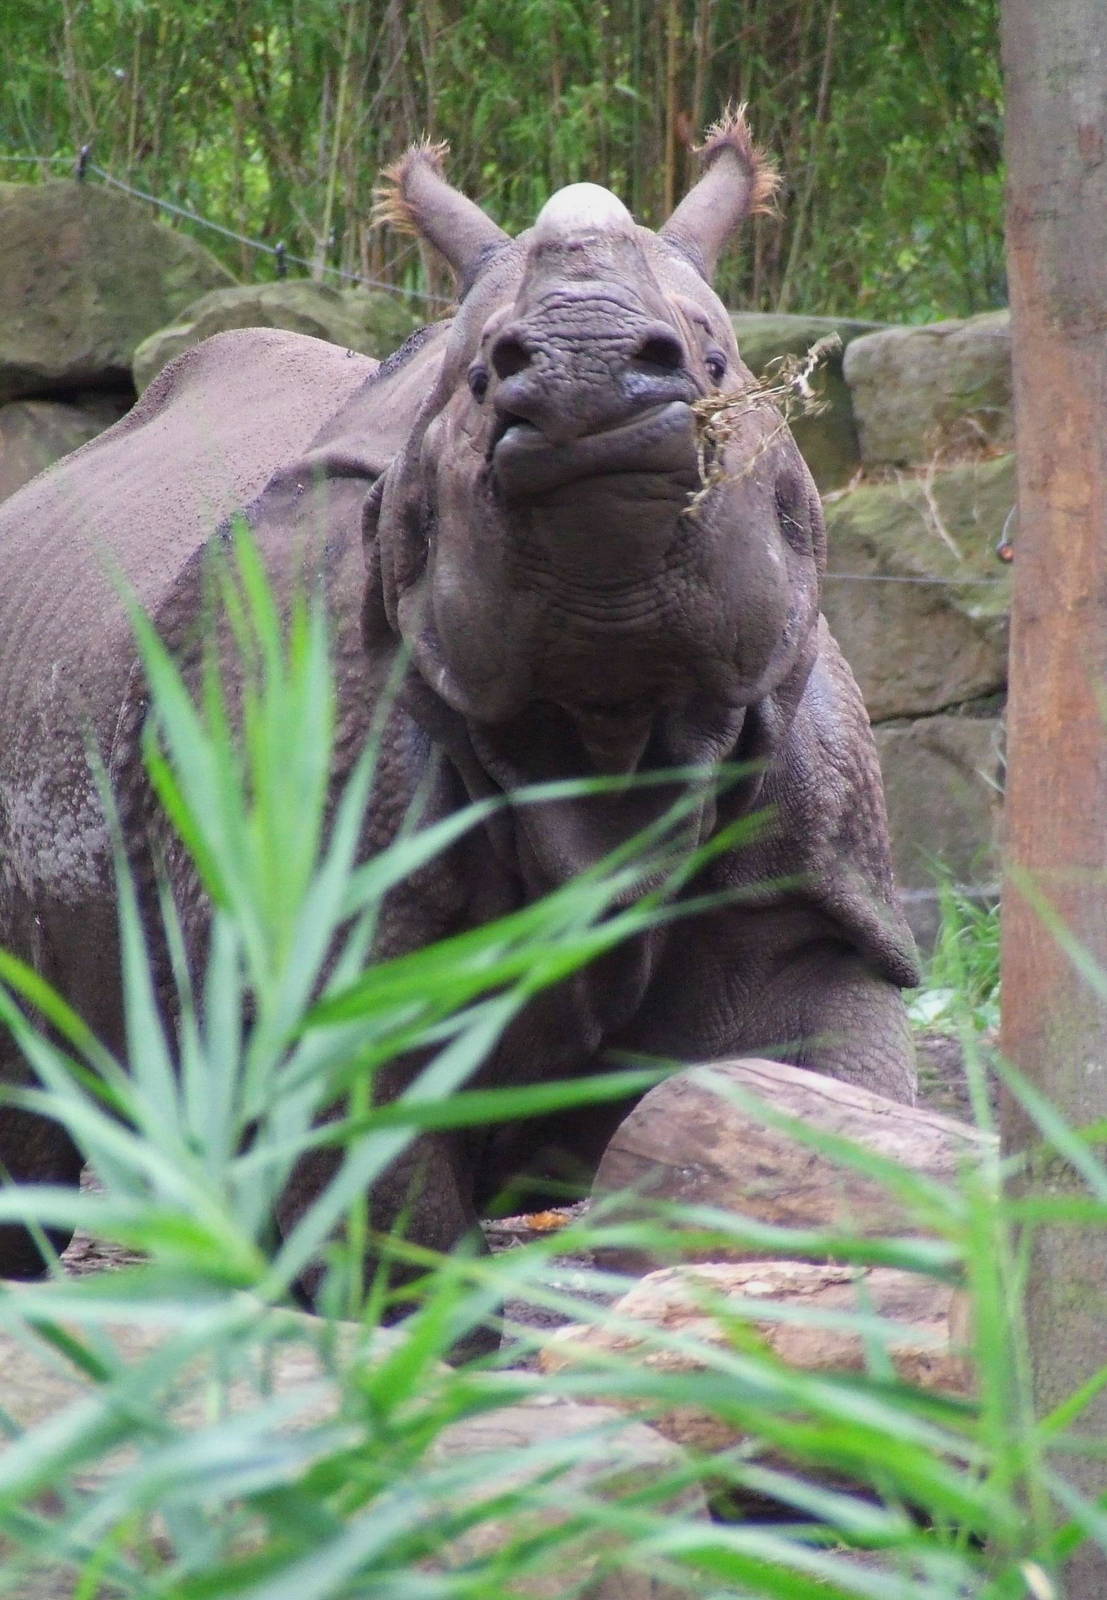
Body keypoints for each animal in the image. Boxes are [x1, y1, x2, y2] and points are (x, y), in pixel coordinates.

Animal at [0, 110, 918, 1286]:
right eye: (485, 375)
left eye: (713, 362)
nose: (585, 377)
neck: (610, 722)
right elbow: (388, 1224)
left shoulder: (810, 872)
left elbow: (814, 1124)